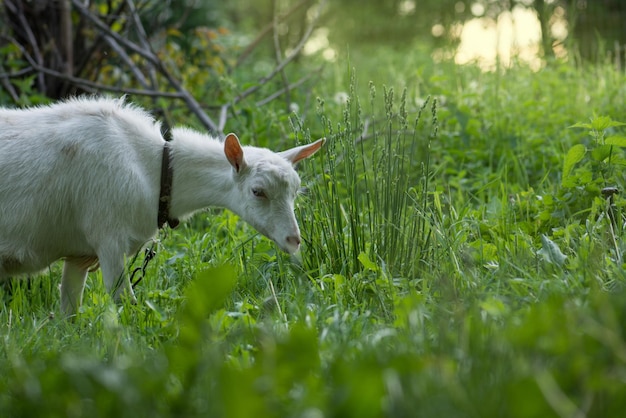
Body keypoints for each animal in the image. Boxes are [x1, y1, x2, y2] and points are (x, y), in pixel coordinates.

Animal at [0, 97, 322, 314]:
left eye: (295, 191)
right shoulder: (109, 239)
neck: (152, 167)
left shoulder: (79, 254)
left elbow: (70, 312)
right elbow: (125, 303)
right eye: (258, 191)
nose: (294, 240)